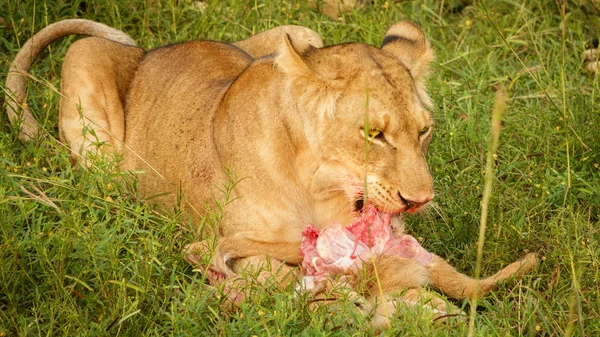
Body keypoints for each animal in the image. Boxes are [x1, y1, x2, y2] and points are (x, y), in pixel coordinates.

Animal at [7, 19, 536, 328]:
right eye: (374, 134)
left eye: (424, 131)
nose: (421, 200)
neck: (320, 191)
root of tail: (148, 50)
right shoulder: (234, 249)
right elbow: (291, 280)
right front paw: (370, 307)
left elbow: (433, 273)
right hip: (87, 64)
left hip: (297, 27)